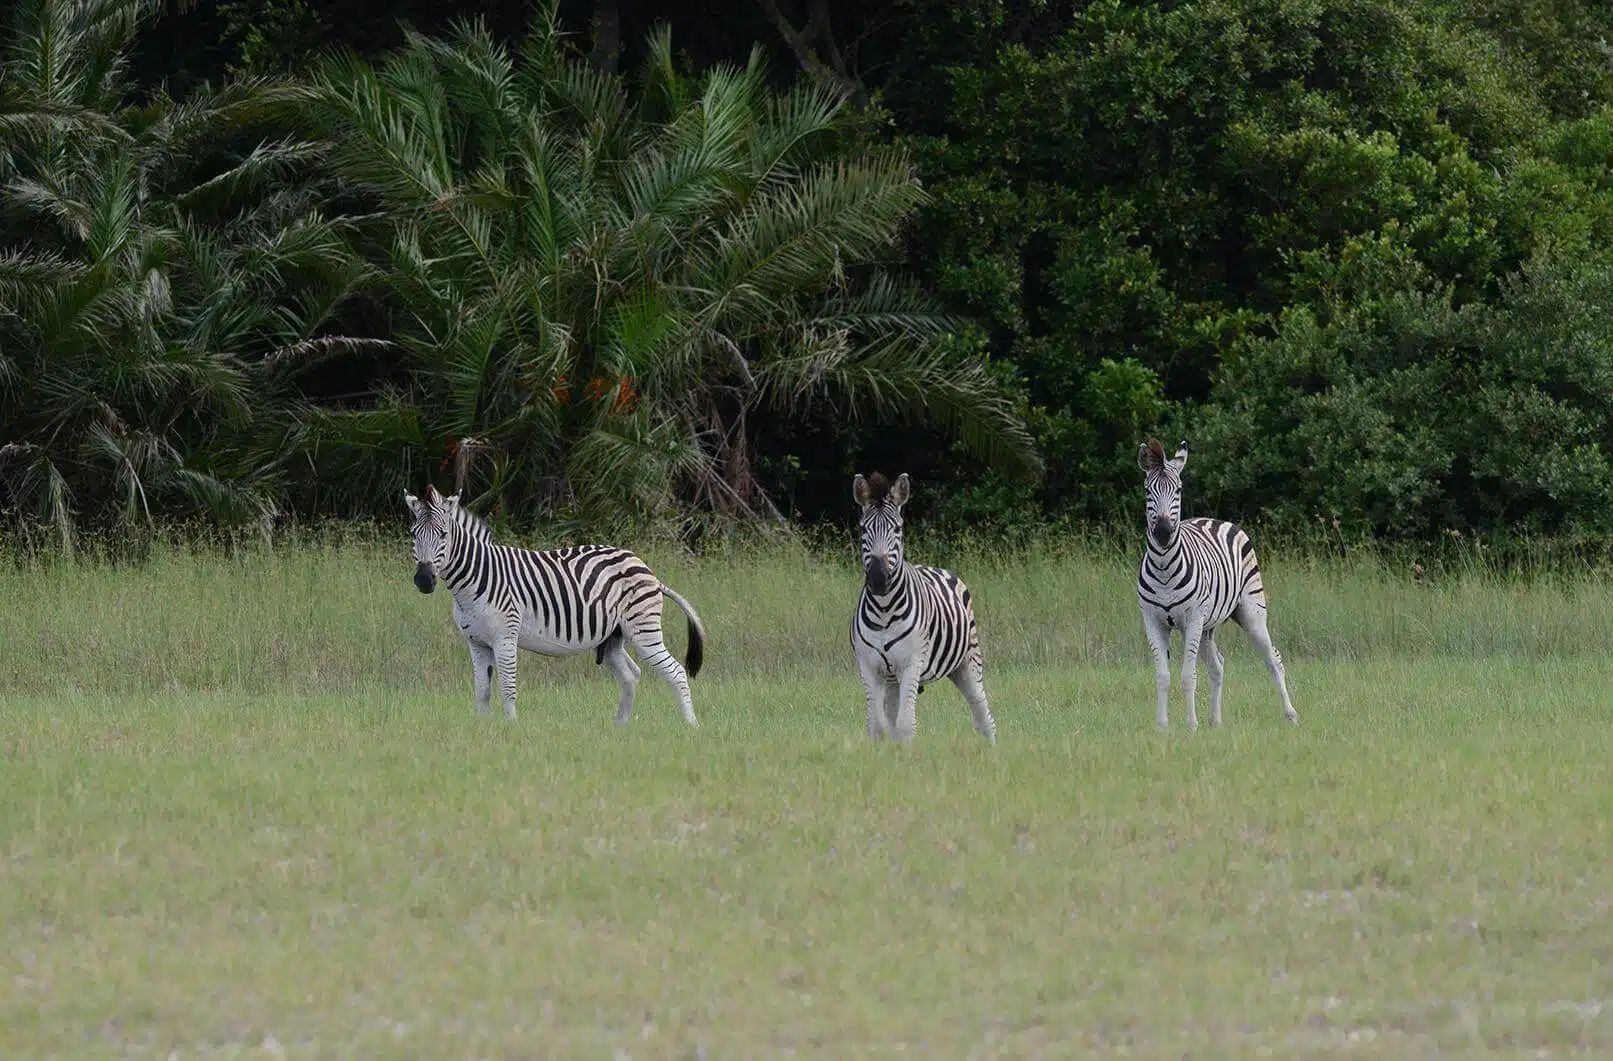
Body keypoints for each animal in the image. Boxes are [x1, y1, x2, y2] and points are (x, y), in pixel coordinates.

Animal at [404, 485, 705, 726]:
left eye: (443, 535)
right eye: (413, 535)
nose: (423, 580)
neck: (475, 580)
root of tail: (645, 567)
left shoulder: (505, 638)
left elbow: (507, 688)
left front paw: (511, 728)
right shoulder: (476, 643)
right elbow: (482, 691)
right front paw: (482, 727)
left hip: (643, 631)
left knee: (676, 672)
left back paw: (691, 726)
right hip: (613, 638)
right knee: (631, 675)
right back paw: (620, 727)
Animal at [850, 472, 995, 744]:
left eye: (897, 529)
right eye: (863, 529)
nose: (878, 579)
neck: (884, 612)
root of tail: (939, 567)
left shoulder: (912, 662)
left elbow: (906, 725)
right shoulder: (869, 667)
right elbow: (877, 726)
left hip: (967, 661)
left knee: (983, 716)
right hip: (893, 677)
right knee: (891, 718)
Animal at [1137, 439, 1297, 730]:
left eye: (1178, 490)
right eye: (1147, 490)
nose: (1163, 533)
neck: (1164, 567)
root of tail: (1214, 519)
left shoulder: (1192, 620)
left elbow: (1188, 676)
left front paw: (1191, 726)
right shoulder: (1153, 621)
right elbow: (1163, 676)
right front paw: (1162, 727)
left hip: (1250, 614)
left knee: (1274, 660)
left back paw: (1290, 714)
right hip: (1207, 627)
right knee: (1218, 665)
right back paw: (1215, 720)